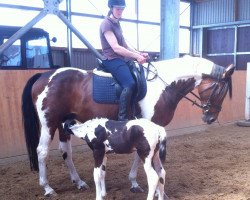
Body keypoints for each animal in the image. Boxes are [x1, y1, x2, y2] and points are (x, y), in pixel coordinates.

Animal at [21, 55, 234, 196]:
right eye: (220, 89)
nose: (210, 118)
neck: (163, 85)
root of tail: (43, 75)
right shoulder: (147, 127)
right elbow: (141, 157)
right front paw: (135, 183)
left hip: (64, 123)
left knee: (66, 151)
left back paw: (78, 182)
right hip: (49, 122)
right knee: (42, 151)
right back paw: (47, 187)